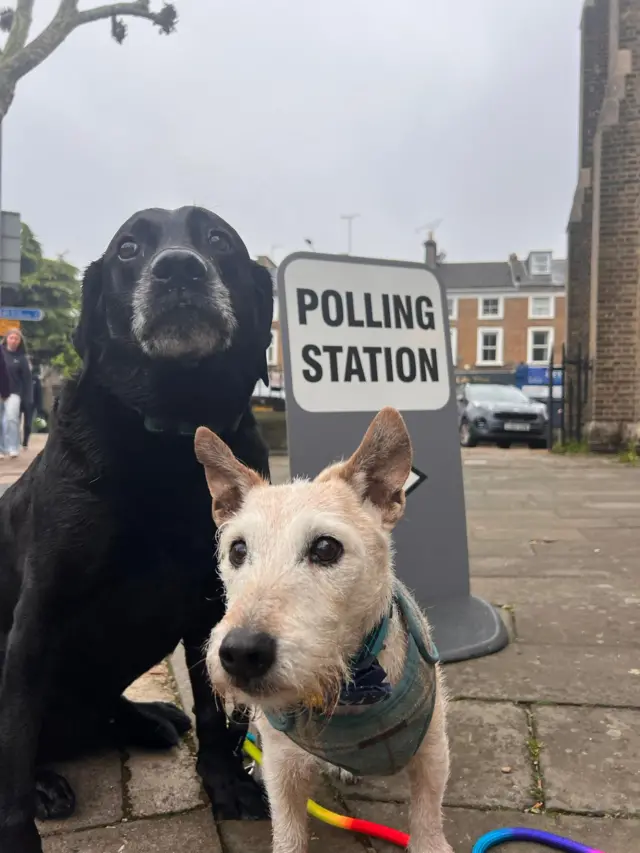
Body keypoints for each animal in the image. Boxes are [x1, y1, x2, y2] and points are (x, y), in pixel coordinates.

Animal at [0, 206, 272, 852]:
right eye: (128, 248)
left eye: (218, 239)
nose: (178, 270)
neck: (174, 436)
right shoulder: (38, 615)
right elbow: (14, 741)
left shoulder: (211, 605)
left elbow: (212, 709)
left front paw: (227, 784)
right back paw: (49, 782)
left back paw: (148, 718)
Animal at [195, 408, 456, 852]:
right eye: (238, 550)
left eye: (325, 548)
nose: (241, 653)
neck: (352, 686)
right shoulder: (284, 769)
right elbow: (288, 830)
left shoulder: (433, 752)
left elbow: (427, 820)